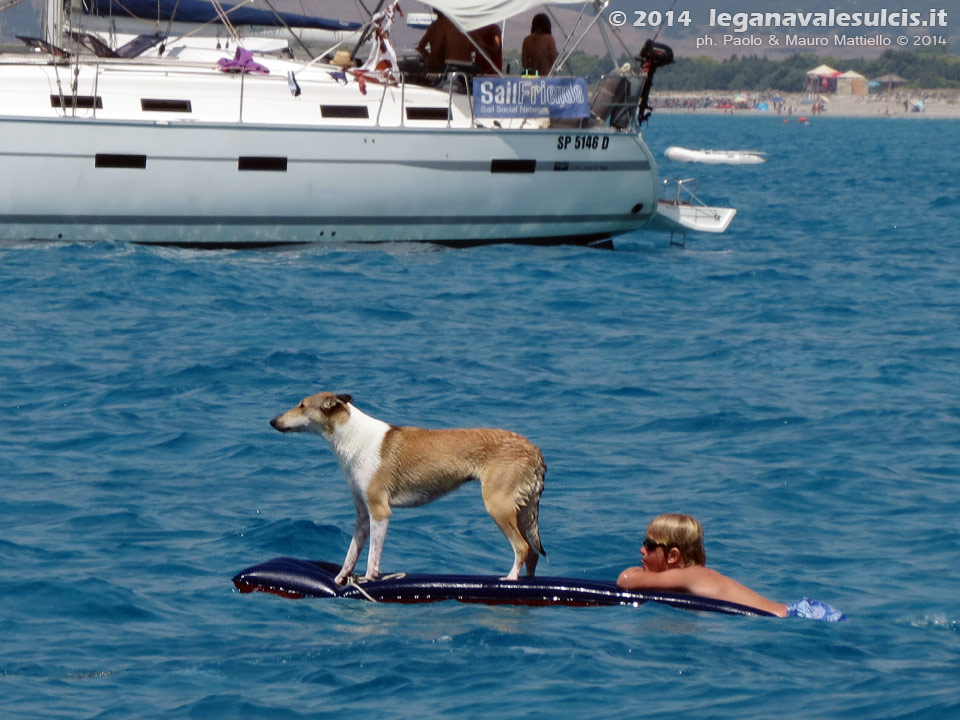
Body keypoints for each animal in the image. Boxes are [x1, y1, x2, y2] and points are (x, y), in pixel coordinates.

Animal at [270, 394, 544, 584]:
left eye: (302, 405)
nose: (273, 421)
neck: (352, 437)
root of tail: (534, 450)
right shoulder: (363, 515)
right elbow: (351, 554)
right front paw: (340, 580)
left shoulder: (380, 511)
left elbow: (373, 557)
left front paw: (368, 579)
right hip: (519, 511)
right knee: (533, 554)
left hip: (497, 506)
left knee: (522, 548)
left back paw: (509, 579)